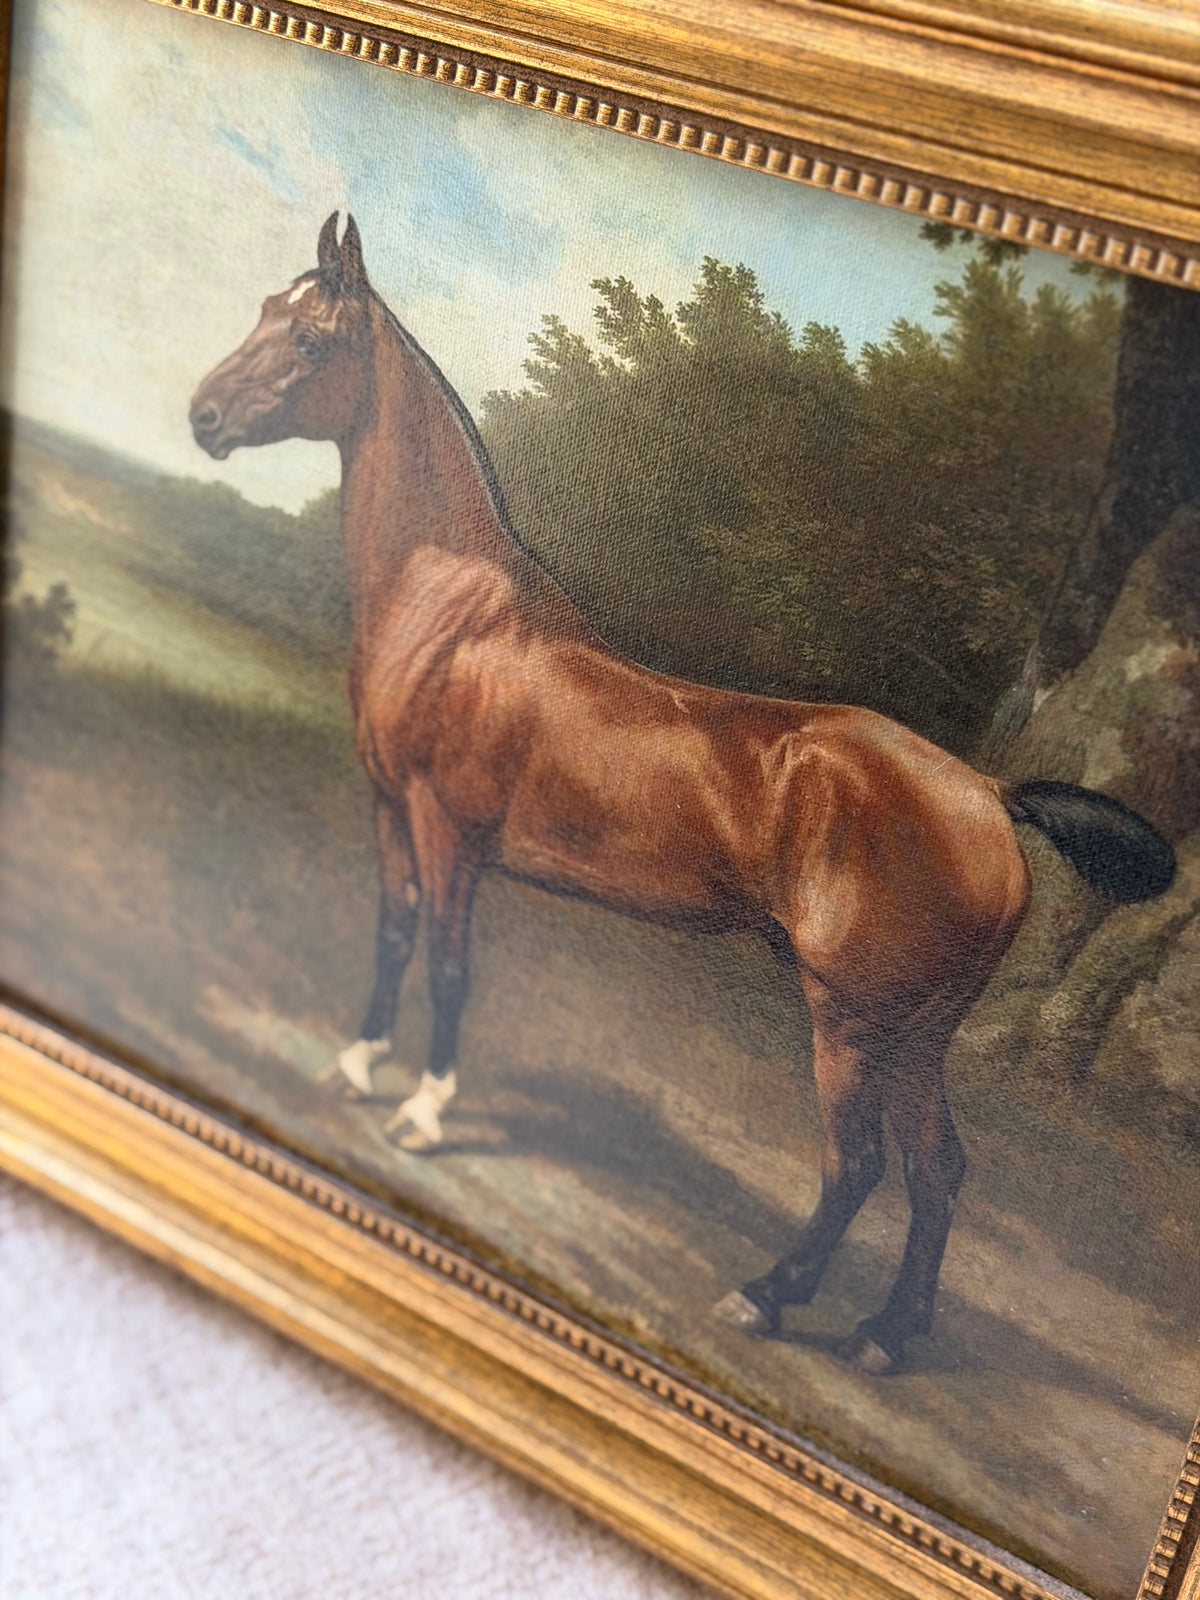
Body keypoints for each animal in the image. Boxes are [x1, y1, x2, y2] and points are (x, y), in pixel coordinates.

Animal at [190, 213, 1175, 1374]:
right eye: (266, 310)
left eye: (308, 340)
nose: (202, 416)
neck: (454, 615)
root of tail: (985, 791)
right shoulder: (390, 810)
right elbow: (390, 939)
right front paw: (354, 1066)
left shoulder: (447, 831)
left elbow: (448, 966)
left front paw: (423, 1116)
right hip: (917, 1036)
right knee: (940, 1170)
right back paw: (885, 1338)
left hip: (853, 1022)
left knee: (859, 1165)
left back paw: (768, 1296)